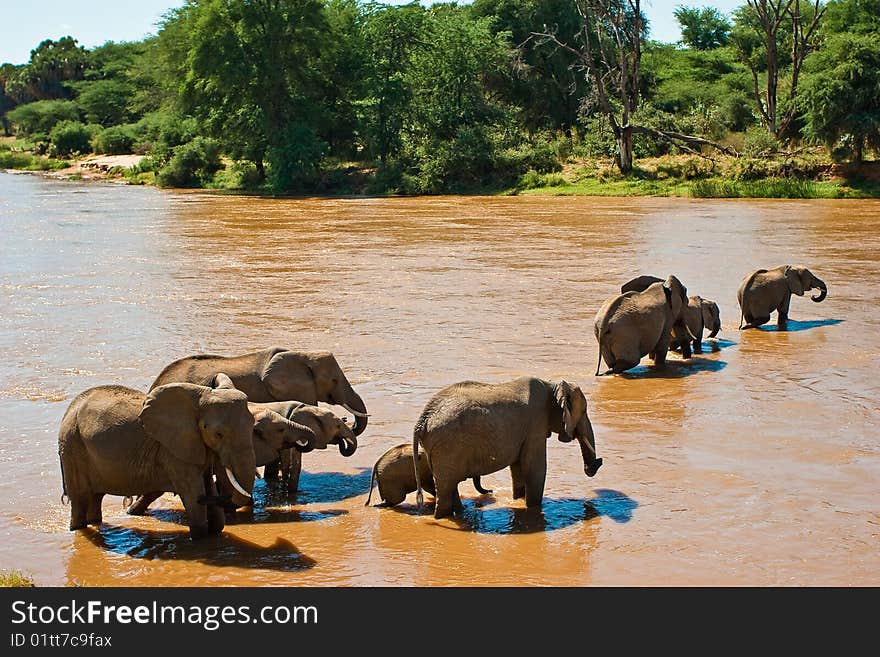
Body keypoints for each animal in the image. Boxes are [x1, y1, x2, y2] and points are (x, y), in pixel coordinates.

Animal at [58, 380, 254, 540]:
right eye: (219, 434)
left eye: (253, 426)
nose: (205, 498)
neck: (200, 398)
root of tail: (70, 408)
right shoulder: (172, 450)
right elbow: (191, 491)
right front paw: (200, 535)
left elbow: (207, 486)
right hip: (72, 445)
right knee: (80, 499)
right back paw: (77, 528)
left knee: (96, 497)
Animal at [360, 440, 492, 508]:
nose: (491, 491)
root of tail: (376, 464)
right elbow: (429, 486)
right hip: (391, 480)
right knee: (398, 499)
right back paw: (380, 505)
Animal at [410, 376, 600, 520]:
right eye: (584, 411)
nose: (595, 464)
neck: (552, 384)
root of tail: (422, 420)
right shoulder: (535, 425)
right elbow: (535, 469)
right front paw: (533, 507)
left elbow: (518, 469)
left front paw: (519, 500)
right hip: (448, 445)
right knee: (446, 488)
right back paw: (443, 518)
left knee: (449, 485)